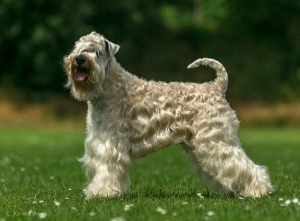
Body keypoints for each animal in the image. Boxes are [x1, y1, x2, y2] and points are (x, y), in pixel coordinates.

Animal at [63, 31, 274, 199]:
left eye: (97, 51)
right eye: (77, 48)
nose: (79, 59)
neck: (110, 88)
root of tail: (217, 86)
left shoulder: (111, 145)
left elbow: (107, 170)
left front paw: (103, 193)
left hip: (216, 140)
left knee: (244, 165)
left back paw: (259, 190)